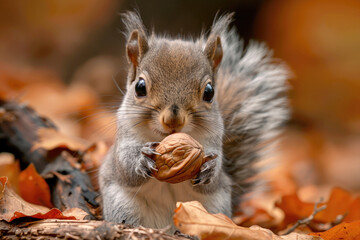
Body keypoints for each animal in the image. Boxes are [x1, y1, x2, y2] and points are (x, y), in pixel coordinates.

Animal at [99, 10, 290, 231]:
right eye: (140, 87)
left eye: (209, 92)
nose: (173, 120)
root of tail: (168, 226)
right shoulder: (124, 140)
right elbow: (125, 168)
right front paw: (142, 159)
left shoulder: (213, 144)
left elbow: (212, 180)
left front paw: (210, 169)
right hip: (123, 205)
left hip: (215, 209)